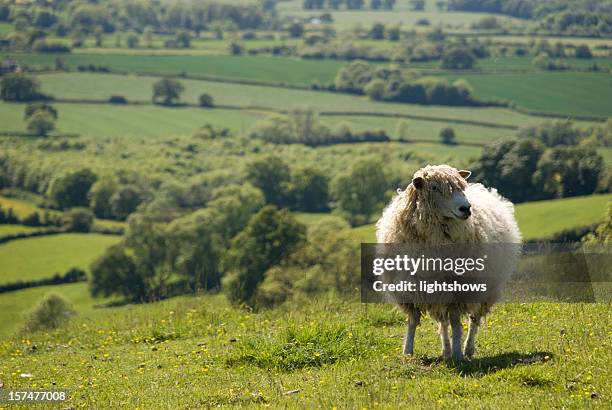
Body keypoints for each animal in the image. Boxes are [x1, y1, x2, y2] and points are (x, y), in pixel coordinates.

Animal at [376, 165, 520, 360]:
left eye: (461, 187)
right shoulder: (409, 289)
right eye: (435, 188)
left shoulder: (457, 290)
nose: (466, 208)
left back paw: (467, 349)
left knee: (474, 320)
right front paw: (408, 352)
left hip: (486, 290)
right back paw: (446, 350)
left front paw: (458, 354)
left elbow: (457, 324)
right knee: (442, 322)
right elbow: (412, 321)